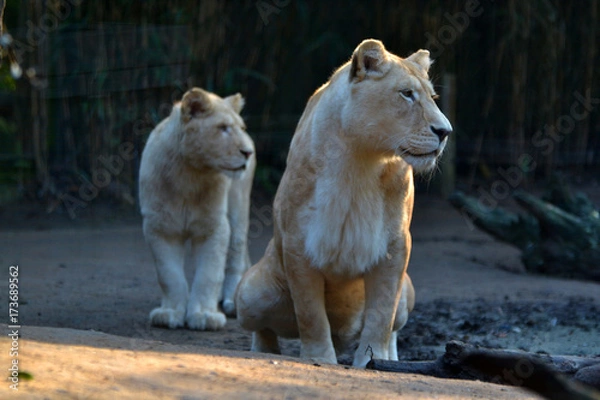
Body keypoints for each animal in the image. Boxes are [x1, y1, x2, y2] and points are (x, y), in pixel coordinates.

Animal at [139, 87, 254, 332]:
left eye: (241, 128)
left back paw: (231, 301)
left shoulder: (214, 226)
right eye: (223, 128)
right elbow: (169, 274)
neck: (190, 173)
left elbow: (209, 274)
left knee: (236, 253)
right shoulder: (160, 226)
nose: (247, 152)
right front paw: (170, 313)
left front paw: (204, 315)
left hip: (238, 205)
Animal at [237, 39, 452, 368]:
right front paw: (320, 358)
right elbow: (310, 314)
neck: (362, 157)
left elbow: (382, 315)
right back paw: (264, 352)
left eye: (433, 97)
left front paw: (372, 361)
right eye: (406, 93)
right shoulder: (298, 241)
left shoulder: (395, 245)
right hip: (250, 292)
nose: (445, 132)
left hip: (408, 291)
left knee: (394, 324)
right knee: (264, 328)